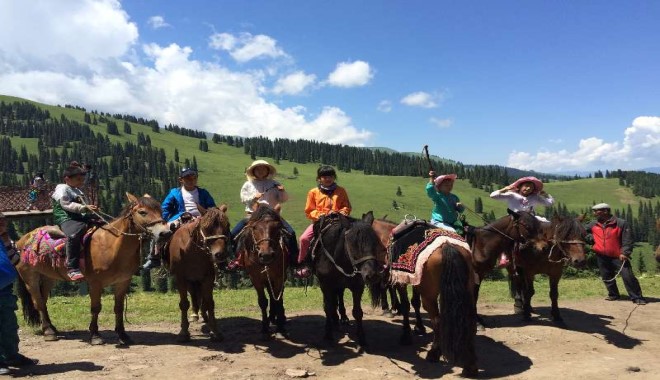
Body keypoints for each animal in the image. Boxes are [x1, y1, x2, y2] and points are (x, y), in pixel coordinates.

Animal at [15, 193, 171, 344]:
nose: (165, 233)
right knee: (39, 303)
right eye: (142, 212)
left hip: (48, 278)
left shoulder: (123, 281)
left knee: (44, 300)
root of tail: (20, 242)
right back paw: (49, 332)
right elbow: (96, 308)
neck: (112, 245)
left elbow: (118, 308)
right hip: (30, 278)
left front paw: (122, 335)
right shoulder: (95, 283)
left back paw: (52, 328)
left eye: (160, 210)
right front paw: (95, 335)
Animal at [166, 206, 231, 342]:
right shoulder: (181, 278)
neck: (193, 251)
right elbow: (184, 304)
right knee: (193, 295)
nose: (220, 254)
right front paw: (183, 332)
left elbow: (210, 303)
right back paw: (195, 314)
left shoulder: (208, 277)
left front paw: (215, 331)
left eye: (227, 225)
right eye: (206, 227)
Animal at [237, 205, 288, 338]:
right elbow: (263, 302)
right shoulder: (256, 279)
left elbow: (278, 300)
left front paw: (281, 327)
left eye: (277, 227)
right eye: (254, 227)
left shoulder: (279, 277)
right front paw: (265, 328)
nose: (266, 255)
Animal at [312, 212, 384, 348]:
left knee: (339, 296)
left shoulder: (358, 286)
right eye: (353, 244)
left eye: (375, 242)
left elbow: (357, 312)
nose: (372, 275)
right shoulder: (325, 285)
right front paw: (328, 334)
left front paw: (361, 337)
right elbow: (327, 307)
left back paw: (342, 318)